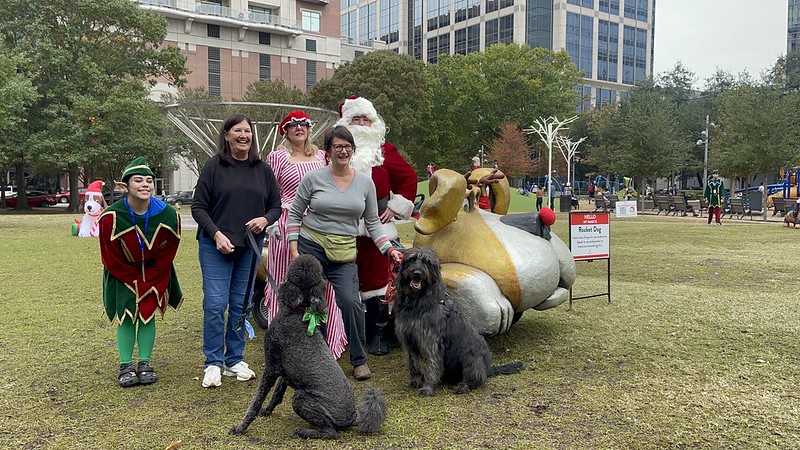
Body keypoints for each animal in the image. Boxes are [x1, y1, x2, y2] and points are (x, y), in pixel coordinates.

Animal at [228, 256, 388, 440]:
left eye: (292, 272)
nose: (281, 280)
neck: (297, 313)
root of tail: (353, 417)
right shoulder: (285, 370)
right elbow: (277, 393)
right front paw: (267, 410)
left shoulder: (272, 367)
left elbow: (256, 400)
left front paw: (241, 427)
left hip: (301, 398)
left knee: (331, 432)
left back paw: (302, 431)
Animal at [390, 246, 520, 398]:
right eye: (412, 260)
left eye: (427, 262)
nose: (417, 274)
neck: (417, 302)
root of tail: (487, 368)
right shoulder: (408, 340)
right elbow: (413, 363)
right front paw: (416, 380)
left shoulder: (430, 342)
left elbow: (431, 365)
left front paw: (427, 388)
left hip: (470, 356)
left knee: (477, 378)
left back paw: (464, 385)